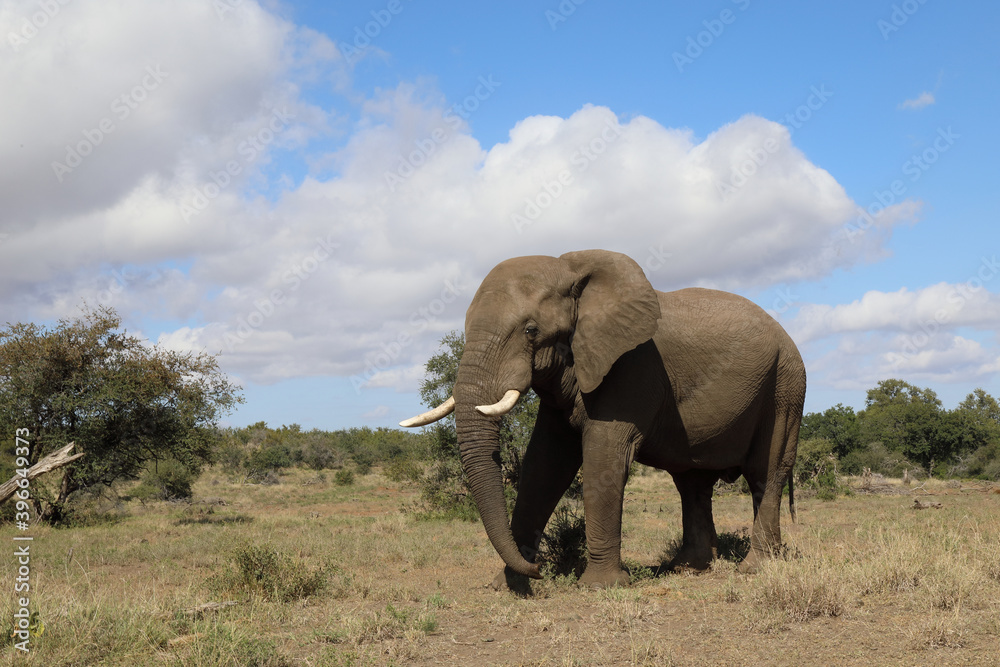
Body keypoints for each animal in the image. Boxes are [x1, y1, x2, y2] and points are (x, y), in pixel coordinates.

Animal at [400, 250, 804, 588]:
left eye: (531, 331)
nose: (539, 570)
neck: (572, 271)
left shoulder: (631, 367)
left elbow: (603, 456)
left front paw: (600, 586)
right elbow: (543, 465)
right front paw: (508, 585)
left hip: (785, 387)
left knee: (766, 473)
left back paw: (756, 569)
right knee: (692, 482)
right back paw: (688, 567)